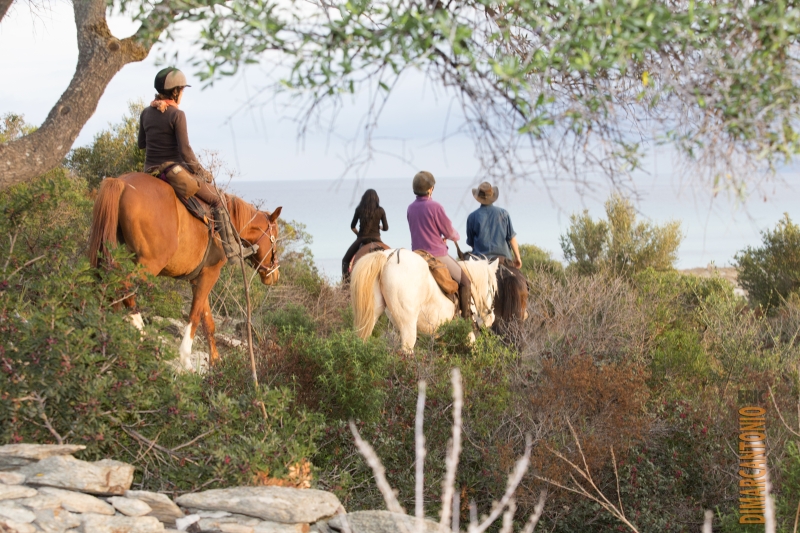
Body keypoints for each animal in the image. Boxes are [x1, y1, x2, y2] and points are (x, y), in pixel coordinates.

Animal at [88, 172, 282, 370]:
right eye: (275, 238)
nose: (274, 275)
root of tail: (122, 182)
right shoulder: (210, 274)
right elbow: (194, 316)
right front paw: (185, 358)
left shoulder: (198, 279)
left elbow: (208, 321)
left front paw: (215, 361)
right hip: (149, 264)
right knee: (123, 287)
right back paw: (139, 332)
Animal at [350, 249, 499, 351]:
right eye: (493, 288)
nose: (491, 318)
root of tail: (388, 257)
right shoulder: (467, 333)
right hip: (408, 327)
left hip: (372, 317)